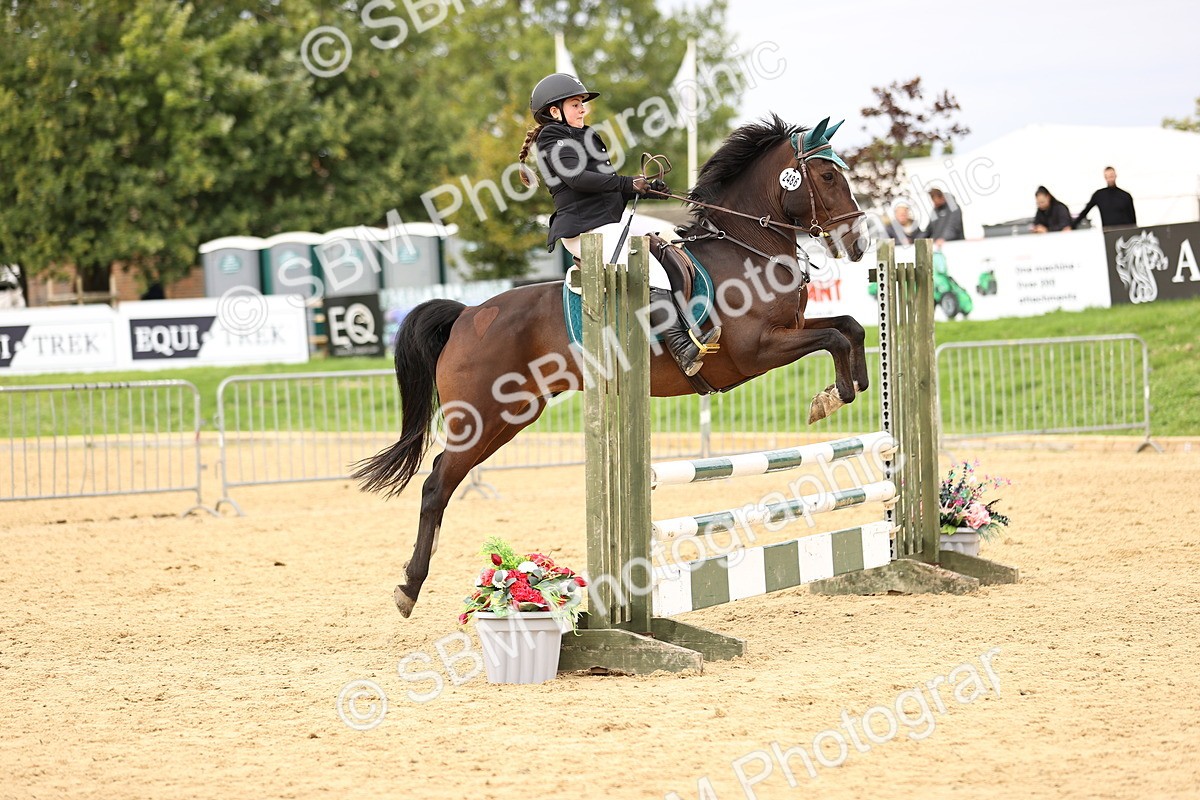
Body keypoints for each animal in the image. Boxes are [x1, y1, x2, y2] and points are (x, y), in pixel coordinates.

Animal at [354, 114, 872, 617]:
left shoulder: (790, 330)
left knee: (445, 476)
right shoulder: (757, 352)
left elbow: (849, 328)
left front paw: (857, 385)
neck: (746, 249)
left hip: (510, 418)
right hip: (479, 418)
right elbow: (832, 338)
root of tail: (466, 315)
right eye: (827, 176)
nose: (859, 243)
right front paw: (833, 397)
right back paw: (409, 588)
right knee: (435, 485)